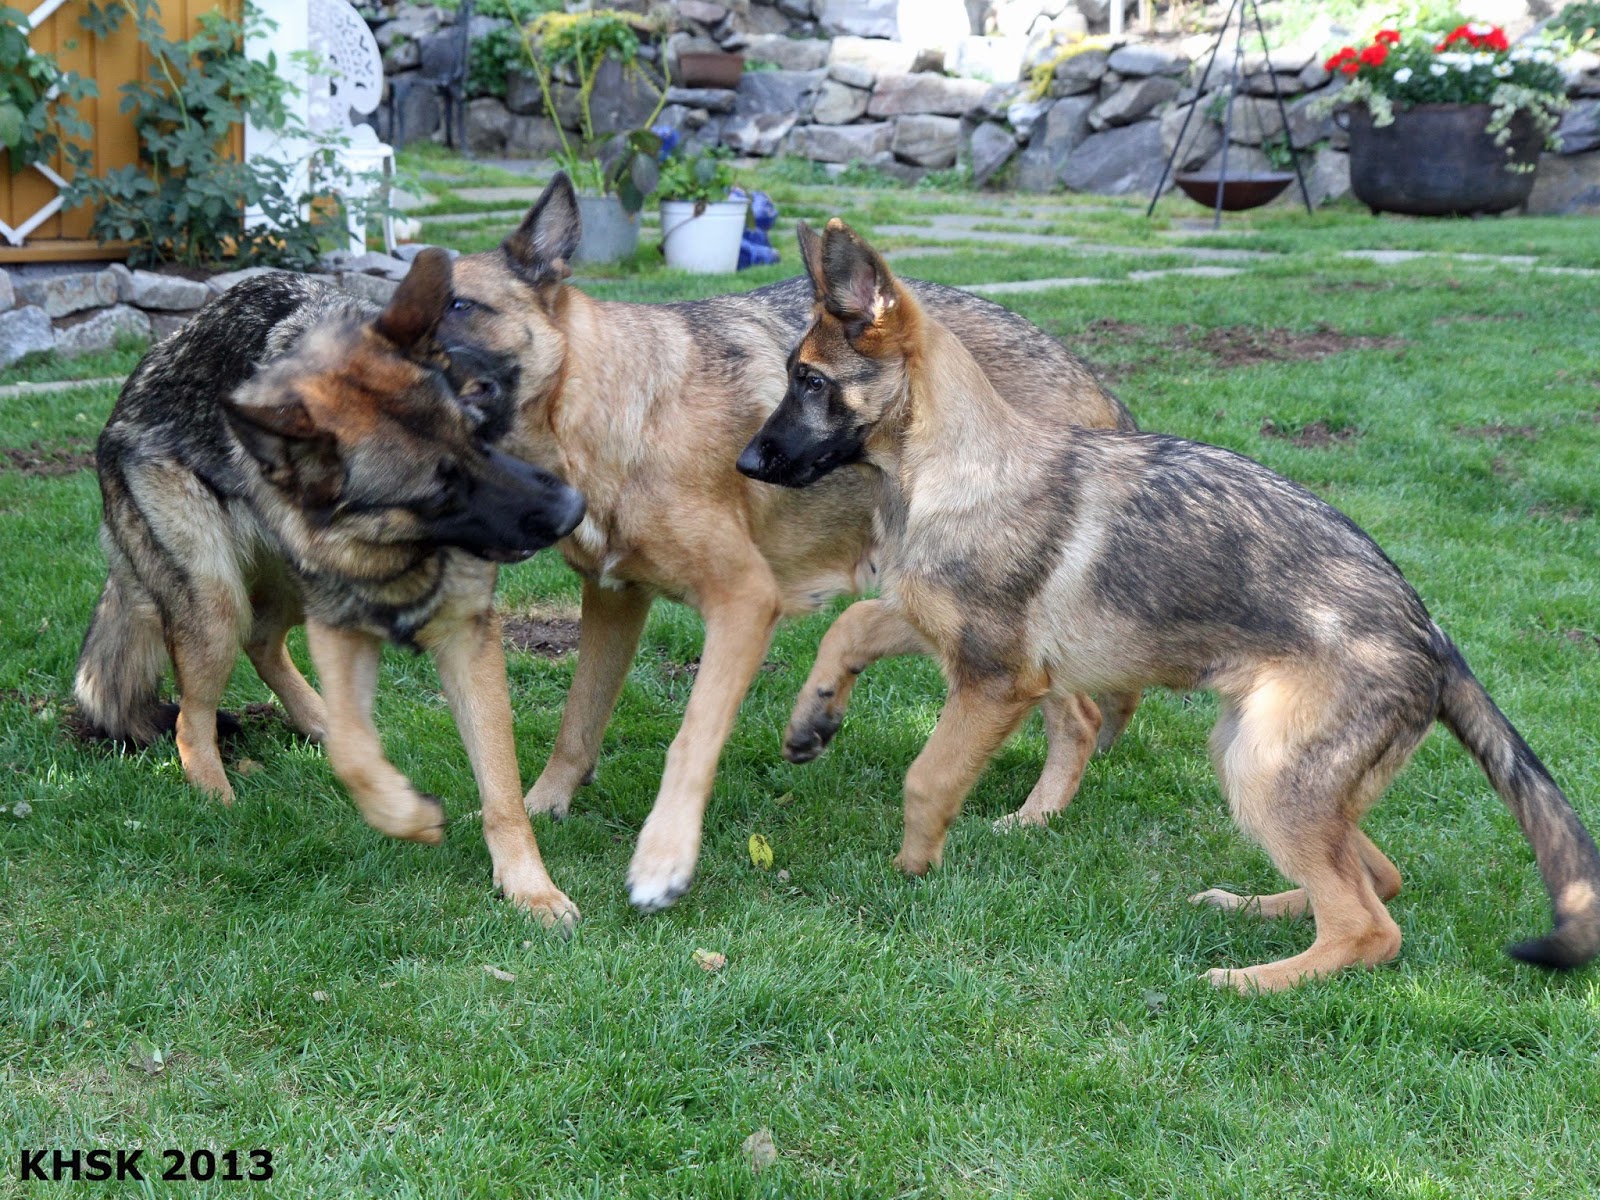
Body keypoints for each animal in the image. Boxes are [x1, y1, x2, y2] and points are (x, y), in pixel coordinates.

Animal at [73, 250, 586, 926]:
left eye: (480, 432)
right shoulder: (343, 632)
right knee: (192, 717)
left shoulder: (466, 639)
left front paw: (529, 887)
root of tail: (139, 378)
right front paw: (404, 815)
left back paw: (314, 720)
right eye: (439, 492)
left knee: (263, 642)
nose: (573, 511)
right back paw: (218, 799)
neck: (395, 549)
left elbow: (501, 784)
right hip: (215, 607)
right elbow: (358, 760)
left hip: (286, 591)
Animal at [437, 173, 1138, 911]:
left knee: (1078, 716)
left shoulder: (743, 602)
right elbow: (579, 722)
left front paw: (663, 859)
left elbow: (692, 737)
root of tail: (1094, 386)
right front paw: (542, 807)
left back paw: (1034, 816)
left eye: (458, 305)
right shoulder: (615, 598)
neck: (611, 408)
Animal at [735, 218, 1600, 992]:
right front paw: (813, 717)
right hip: (1255, 758)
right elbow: (852, 624)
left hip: (1266, 769)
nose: (743, 463)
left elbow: (929, 775)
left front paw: (913, 866)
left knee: (1369, 926)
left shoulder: (995, 677)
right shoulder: (939, 625)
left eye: (810, 381)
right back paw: (1250, 907)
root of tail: (1434, 635)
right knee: (1376, 877)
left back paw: (1250, 979)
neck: (954, 464)